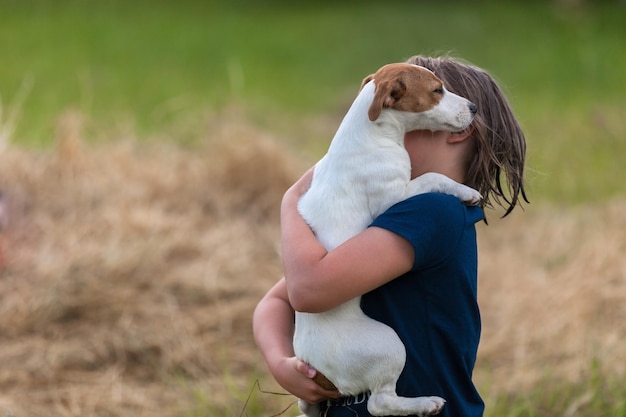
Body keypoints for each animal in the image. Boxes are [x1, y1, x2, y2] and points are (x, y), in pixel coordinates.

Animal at [292, 61, 478, 416]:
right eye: (437, 90)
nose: (474, 107)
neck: (372, 132)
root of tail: (321, 373)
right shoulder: (394, 199)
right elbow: (434, 176)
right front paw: (467, 191)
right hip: (388, 343)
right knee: (380, 403)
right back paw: (425, 402)